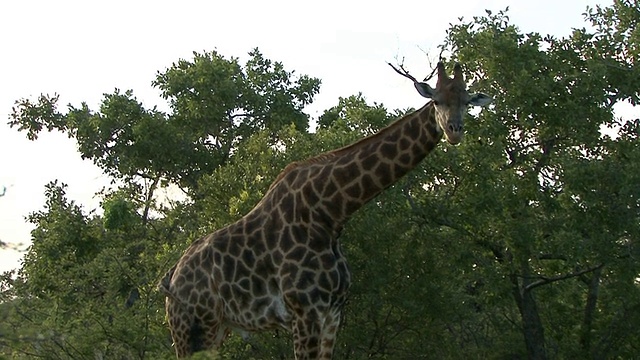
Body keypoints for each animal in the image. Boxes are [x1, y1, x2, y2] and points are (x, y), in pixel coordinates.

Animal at [158, 60, 492, 358]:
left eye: (467, 101)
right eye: (436, 101)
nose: (454, 130)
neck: (332, 212)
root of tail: (172, 276)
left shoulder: (332, 313)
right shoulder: (304, 311)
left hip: (216, 327)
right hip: (190, 327)